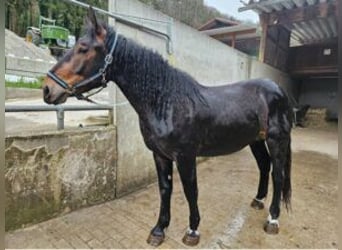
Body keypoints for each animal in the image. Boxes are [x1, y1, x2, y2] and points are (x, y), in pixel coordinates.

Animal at [41, 7, 292, 246]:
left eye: (83, 48)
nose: (47, 89)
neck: (166, 101)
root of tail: (278, 90)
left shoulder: (186, 156)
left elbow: (191, 190)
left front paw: (192, 231)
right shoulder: (160, 155)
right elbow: (165, 189)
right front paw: (159, 230)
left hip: (276, 140)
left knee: (278, 174)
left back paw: (273, 219)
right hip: (256, 140)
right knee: (264, 166)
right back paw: (258, 201)